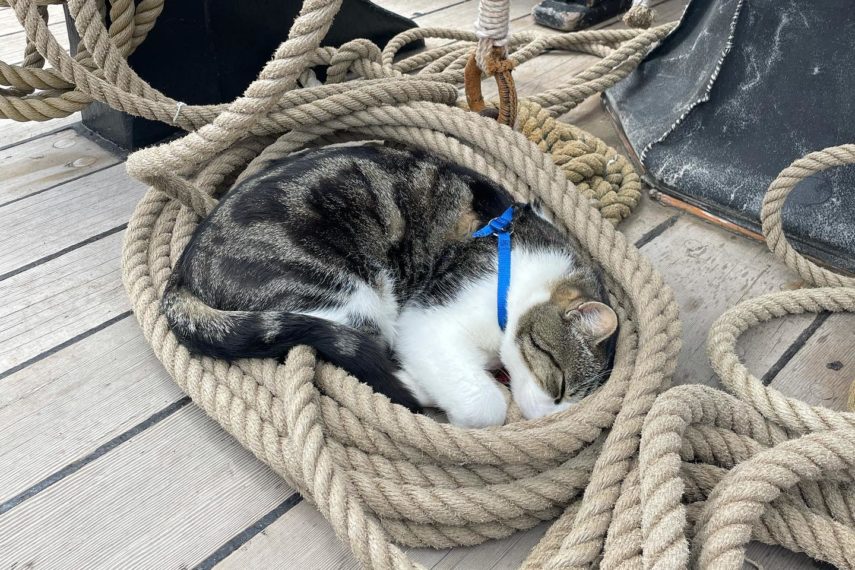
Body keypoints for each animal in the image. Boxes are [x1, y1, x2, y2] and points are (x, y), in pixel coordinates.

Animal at [162, 143, 616, 426]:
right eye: (559, 384)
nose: (543, 416)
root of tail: (183, 272)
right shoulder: (428, 319)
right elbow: (483, 404)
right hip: (351, 294)